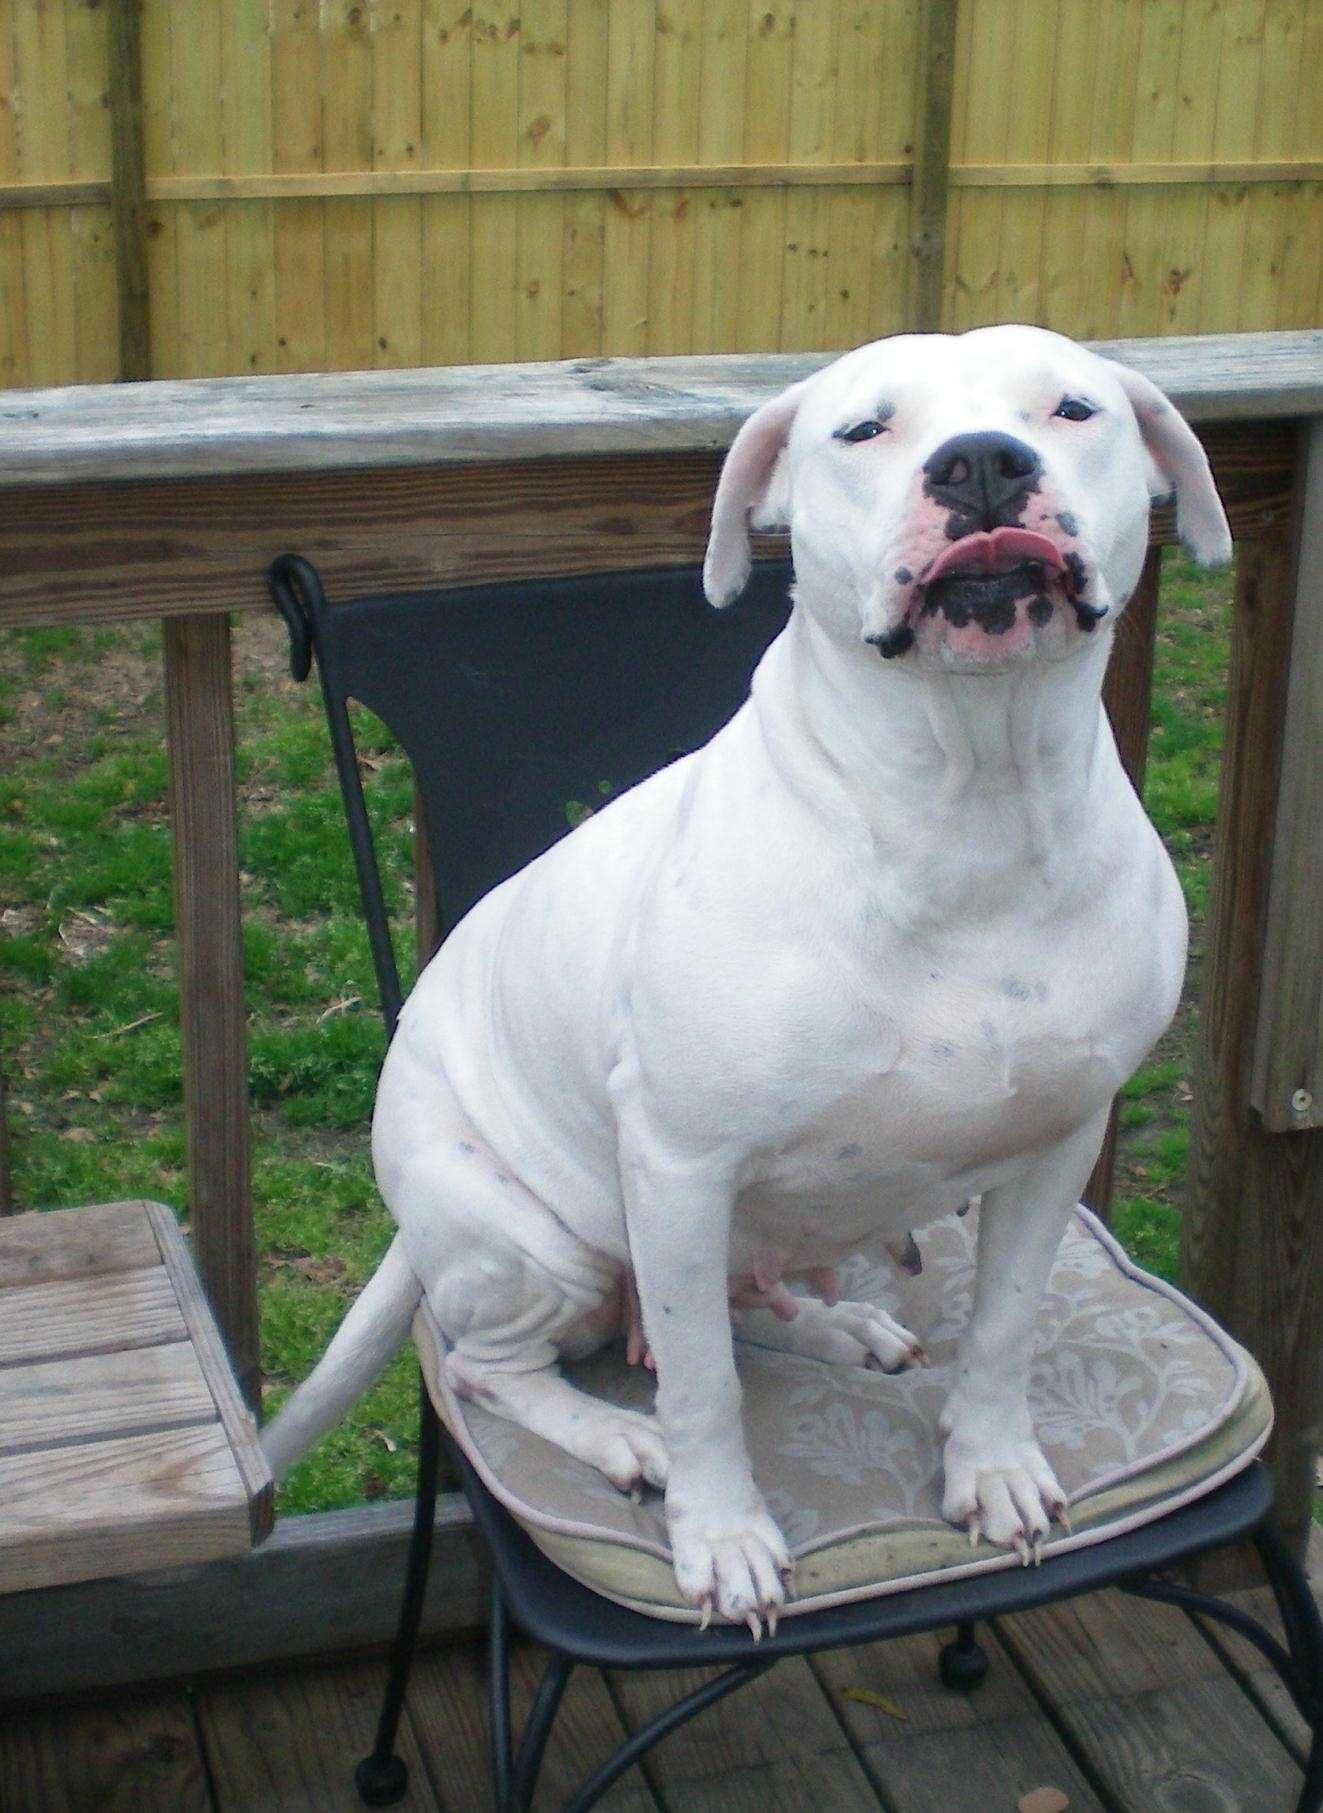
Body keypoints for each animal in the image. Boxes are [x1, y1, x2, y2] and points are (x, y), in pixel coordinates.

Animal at [262, 329, 1232, 1646]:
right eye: (865, 430)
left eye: (1073, 408)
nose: (981, 462)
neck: (968, 798)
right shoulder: (680, 1165)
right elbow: (706, 1391)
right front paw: (721, 1539)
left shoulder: (1059, 1140)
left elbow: (1003, 1325)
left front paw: (993, 1468)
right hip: (537, 1242)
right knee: (498, 1364)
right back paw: (621, 1438)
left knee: (734, 1307)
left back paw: (843, 1326)